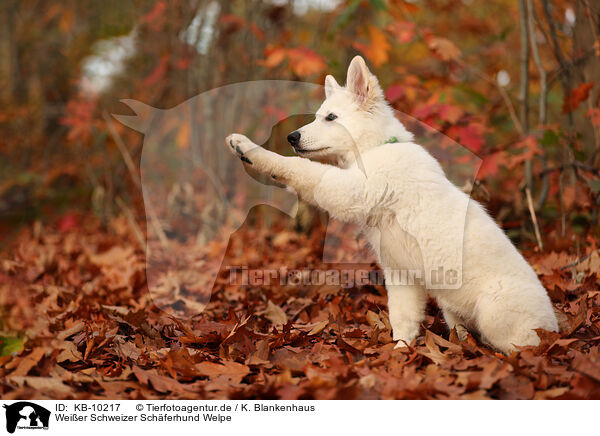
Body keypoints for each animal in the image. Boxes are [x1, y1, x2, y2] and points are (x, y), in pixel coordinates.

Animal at [225, 54, 556, 354]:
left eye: (331, 117)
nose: (292, 137)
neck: (375, 149)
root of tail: (553, 327)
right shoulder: (401, 272)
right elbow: (403, 317)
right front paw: (400, 352)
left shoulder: (347, 190)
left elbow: (299, 169)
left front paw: (248, 148)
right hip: (452, 308)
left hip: (494, 314)